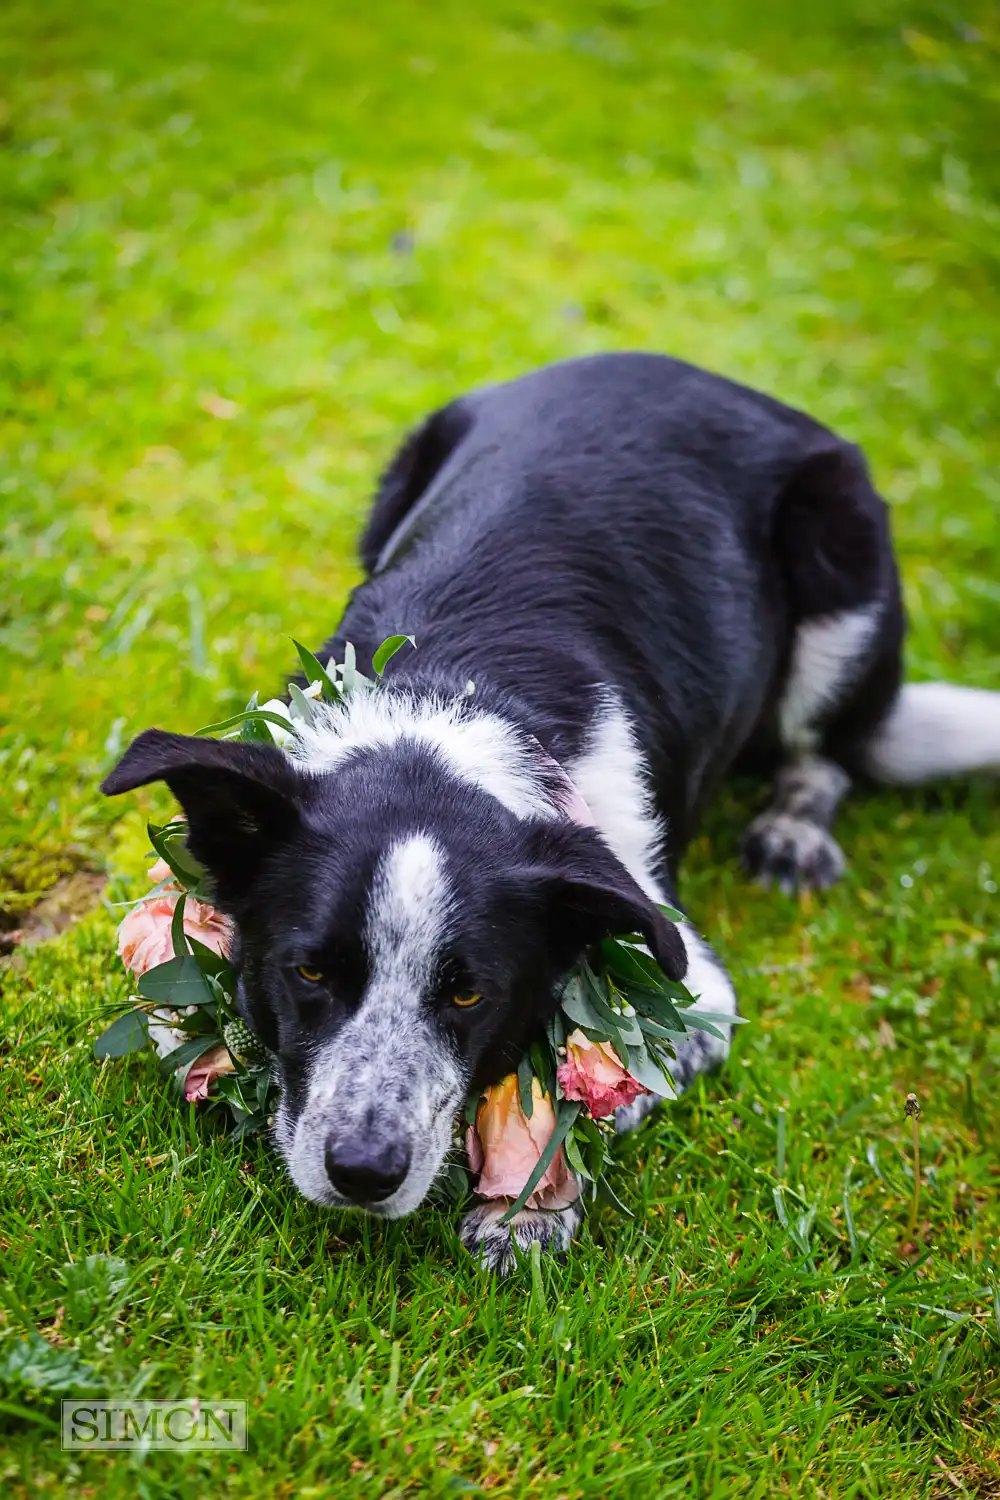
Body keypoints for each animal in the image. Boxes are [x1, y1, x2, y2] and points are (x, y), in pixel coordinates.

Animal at [103, 354, 1000, 1278]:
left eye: (469, 994)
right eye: (309, 972)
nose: (363, 1172)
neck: (453, 696)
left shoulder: (691, 982)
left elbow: (605, 1075)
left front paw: (527, 1204)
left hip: (841, 571)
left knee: (829, 748)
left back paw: (794, 831)